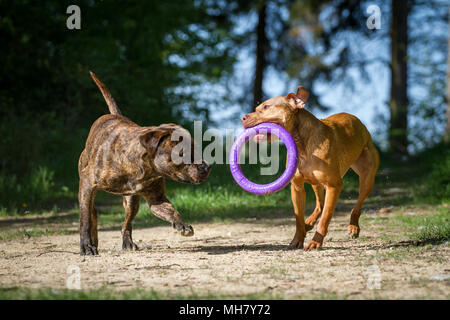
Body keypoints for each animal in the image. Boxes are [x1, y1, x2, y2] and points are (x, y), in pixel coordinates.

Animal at [78, 72, 210, 255]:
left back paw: (127, 242)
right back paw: (92, 241)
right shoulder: (87, 184)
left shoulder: (157, 199)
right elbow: (84, 219)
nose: (207, 167)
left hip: (131, 202)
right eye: (182, 153)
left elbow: (171, 211)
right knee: (91, 212)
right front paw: (86, 246)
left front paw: (182, 225)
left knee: (126, 223)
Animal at [241, 87, 378, 250]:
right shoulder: (297, 188)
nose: (243, 118)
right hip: (316, 184)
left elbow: (325, 218)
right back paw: (309, 223)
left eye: (266, 107)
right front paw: (297, 239)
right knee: (320, 204)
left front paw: (315, 242)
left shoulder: (334, 186)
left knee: (356, 205)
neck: (301, 144)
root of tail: (358, 121)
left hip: (367, 178)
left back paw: (353, 227)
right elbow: (298, 218)